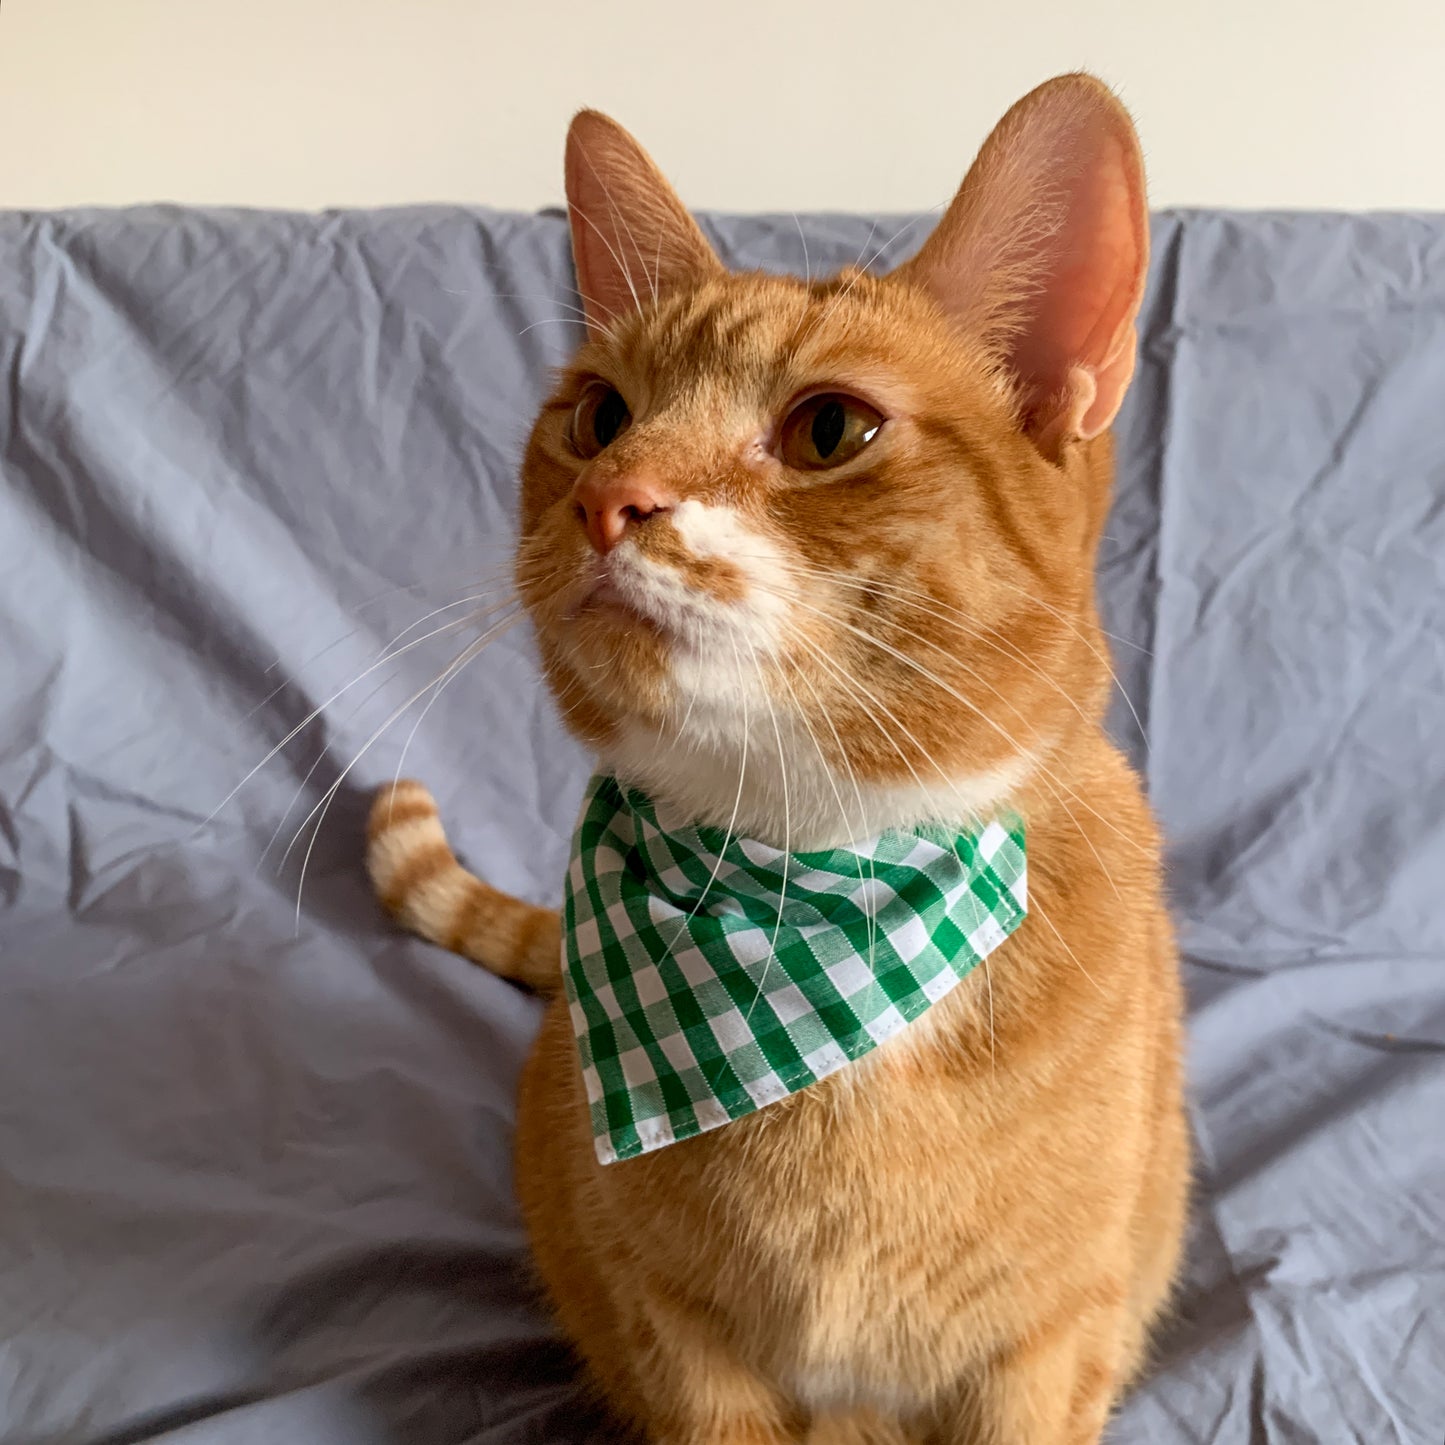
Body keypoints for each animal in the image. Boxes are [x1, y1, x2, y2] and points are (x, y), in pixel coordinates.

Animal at [367, 73, 1190, 1439]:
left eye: (830, 430)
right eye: (598, 416)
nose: (607, 498)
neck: (813, 884)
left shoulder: (1045, 1342)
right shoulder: (680, 1333)